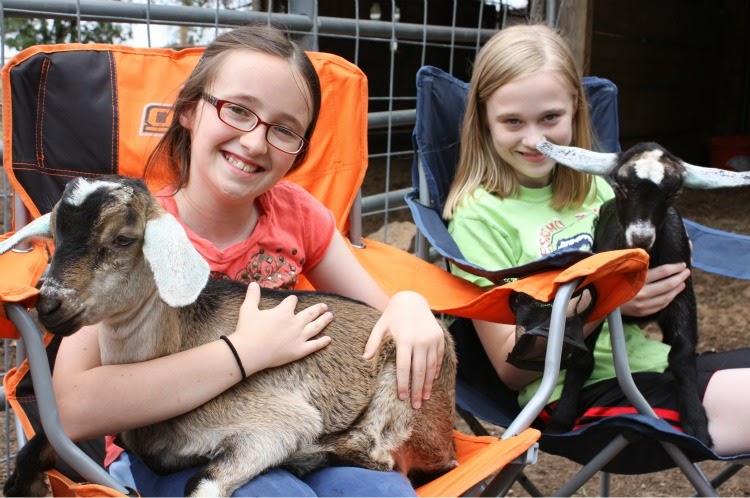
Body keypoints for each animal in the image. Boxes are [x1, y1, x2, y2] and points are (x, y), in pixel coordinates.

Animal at [536, 138, 750, 446]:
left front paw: (697, 426)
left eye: (674, 194)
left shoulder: (683, 294)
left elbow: (682, 354)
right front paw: (561, 419)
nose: (640, 237)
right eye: (620, 186)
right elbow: (581, 359)